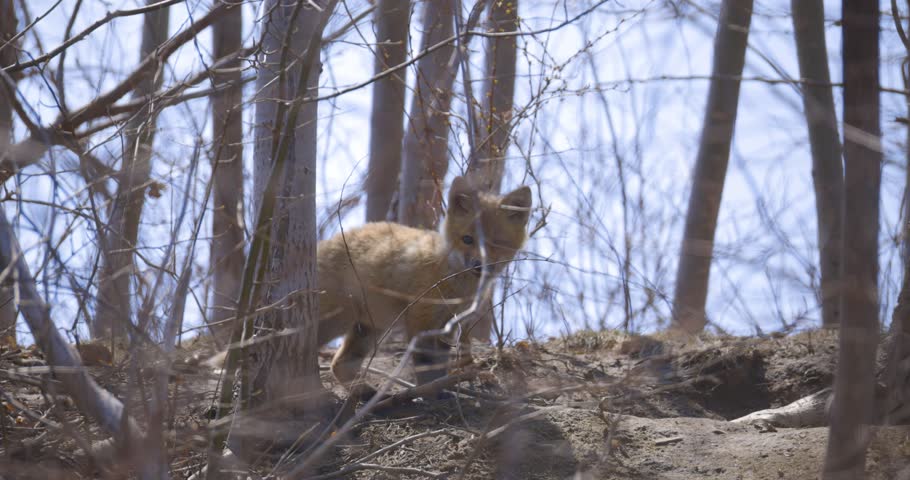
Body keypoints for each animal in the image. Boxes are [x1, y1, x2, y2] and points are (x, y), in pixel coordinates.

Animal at [317, 176, 532, 396]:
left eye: (497, 244)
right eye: (467, 239)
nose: (478, 266)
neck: (456, 284)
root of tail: (321, 245)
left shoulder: (448, 326)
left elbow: (439, 364)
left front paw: (441, 387)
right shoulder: (422, 319)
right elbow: (425, 364)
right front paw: (432, 392)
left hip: (369, 326)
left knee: (340, 365)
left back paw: (367, 393)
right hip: (337, 319)